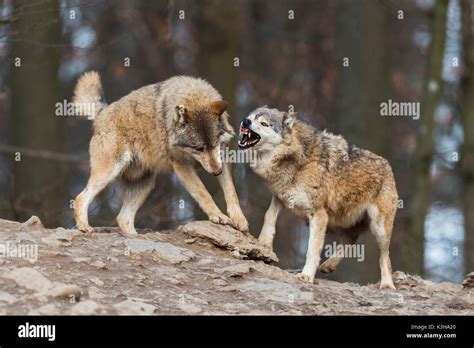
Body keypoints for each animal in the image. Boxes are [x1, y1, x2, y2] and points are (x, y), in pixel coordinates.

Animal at [239, 104, 398, 290]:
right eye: (251, 117)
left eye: (263, 123)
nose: (245, 121)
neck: (296, 157)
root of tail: (387, 165)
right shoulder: (282, 196)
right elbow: (268, 216)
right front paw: (263, 243)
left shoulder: (318, 214)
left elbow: (312, 249)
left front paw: (306, 276)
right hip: (337, 220)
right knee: (351, 239)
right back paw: (328, 265)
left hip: (378, 227)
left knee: (385, 256)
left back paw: (387, 284)